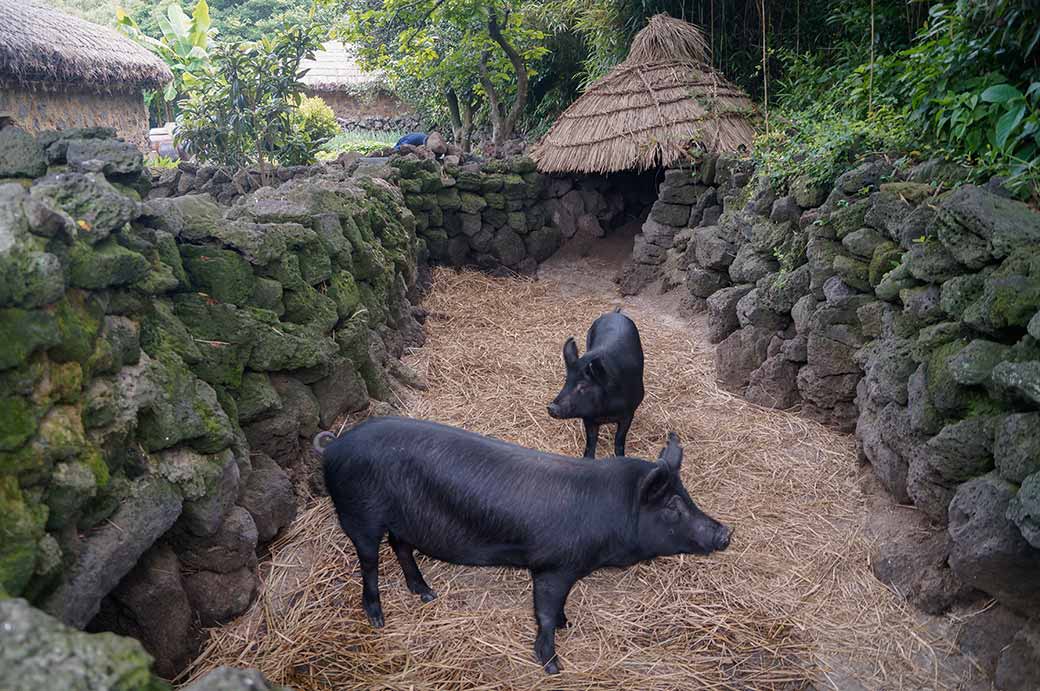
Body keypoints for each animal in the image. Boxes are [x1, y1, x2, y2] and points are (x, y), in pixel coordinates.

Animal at [316, 416, 732, 674]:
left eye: (688, 496)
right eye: (673, 506)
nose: (725, 533)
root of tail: (334, 447)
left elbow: (558, 608)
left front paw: (567, 623)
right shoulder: (553, 567)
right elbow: (544, 612)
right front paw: (552, 665)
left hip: (404, 520)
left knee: (401, 547)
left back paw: (427, 594)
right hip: (358, 514)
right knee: (369, 559)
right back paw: (377, 618)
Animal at [549, 308, 644, 457]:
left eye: (583, 385)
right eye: (566, 381)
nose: (551, 407)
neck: (605, 411)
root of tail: (614, 313)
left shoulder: (629, 413)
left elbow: (619, 439)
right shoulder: (588, 417)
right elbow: (591, 443)